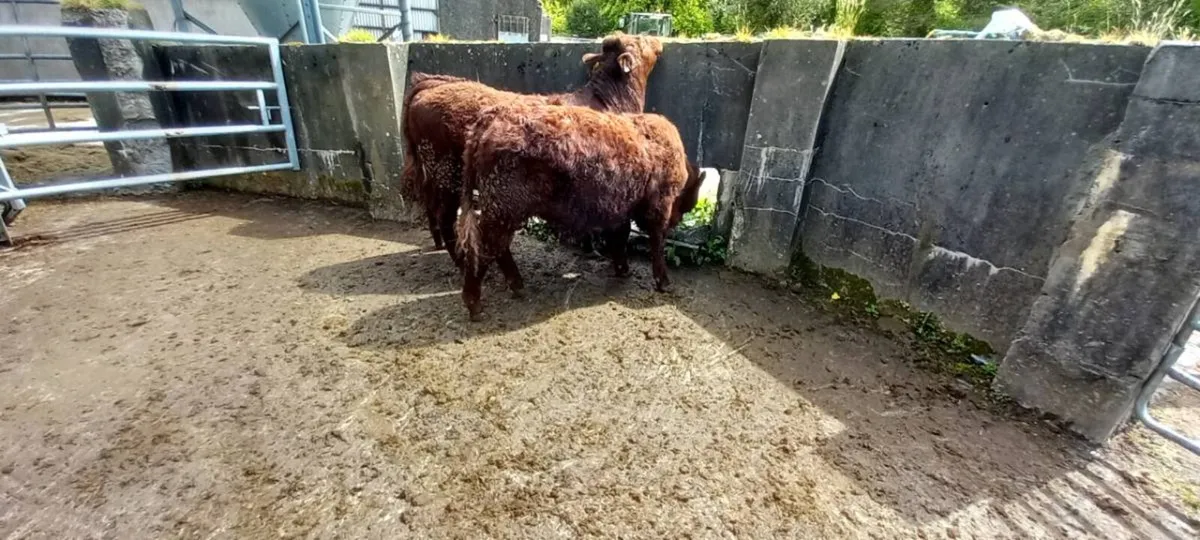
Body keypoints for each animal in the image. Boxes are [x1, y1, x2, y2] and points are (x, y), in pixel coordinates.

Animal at [400, 34, 664, 262]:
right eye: (639, 40)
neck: (606, 101)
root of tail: (430, 84)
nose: (657, 40)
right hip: (446, 171)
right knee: (445, 217)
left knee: (432, 208)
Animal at [454, 102, 704, 321]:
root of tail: (490, 117)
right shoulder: (659, 209)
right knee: (486, 249)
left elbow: (620, 238)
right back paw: (475, 306)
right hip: (503, 211)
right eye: (687, 200)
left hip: (504, 214)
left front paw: (623, 269)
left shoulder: (620, 214)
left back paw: (517, 286)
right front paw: (663, 282)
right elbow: (656, 243)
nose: (677, 221)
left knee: (498, 248)